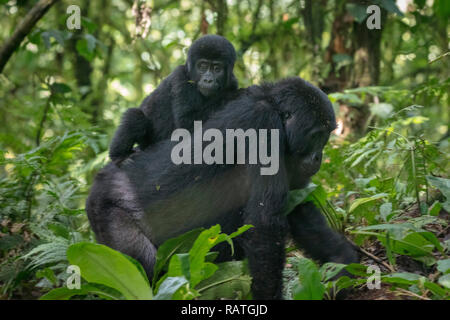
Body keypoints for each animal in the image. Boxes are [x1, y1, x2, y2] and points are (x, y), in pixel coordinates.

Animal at [87, 77, 358, 300]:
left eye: (325, 136)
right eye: (316, 136)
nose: (318, 157)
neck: (276, 110)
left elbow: (300, 210)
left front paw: (343, 262)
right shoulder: (264, 126)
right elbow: (264, 225)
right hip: (106, 211)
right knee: (145, 265)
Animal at [109, 35, 241, 165]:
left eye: (217, 69)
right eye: (203, 66)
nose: (208, 80)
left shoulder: (232, 81)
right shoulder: (181, 77)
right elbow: (188, 122)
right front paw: (232, 95)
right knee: (135, 116)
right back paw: (119, 156)